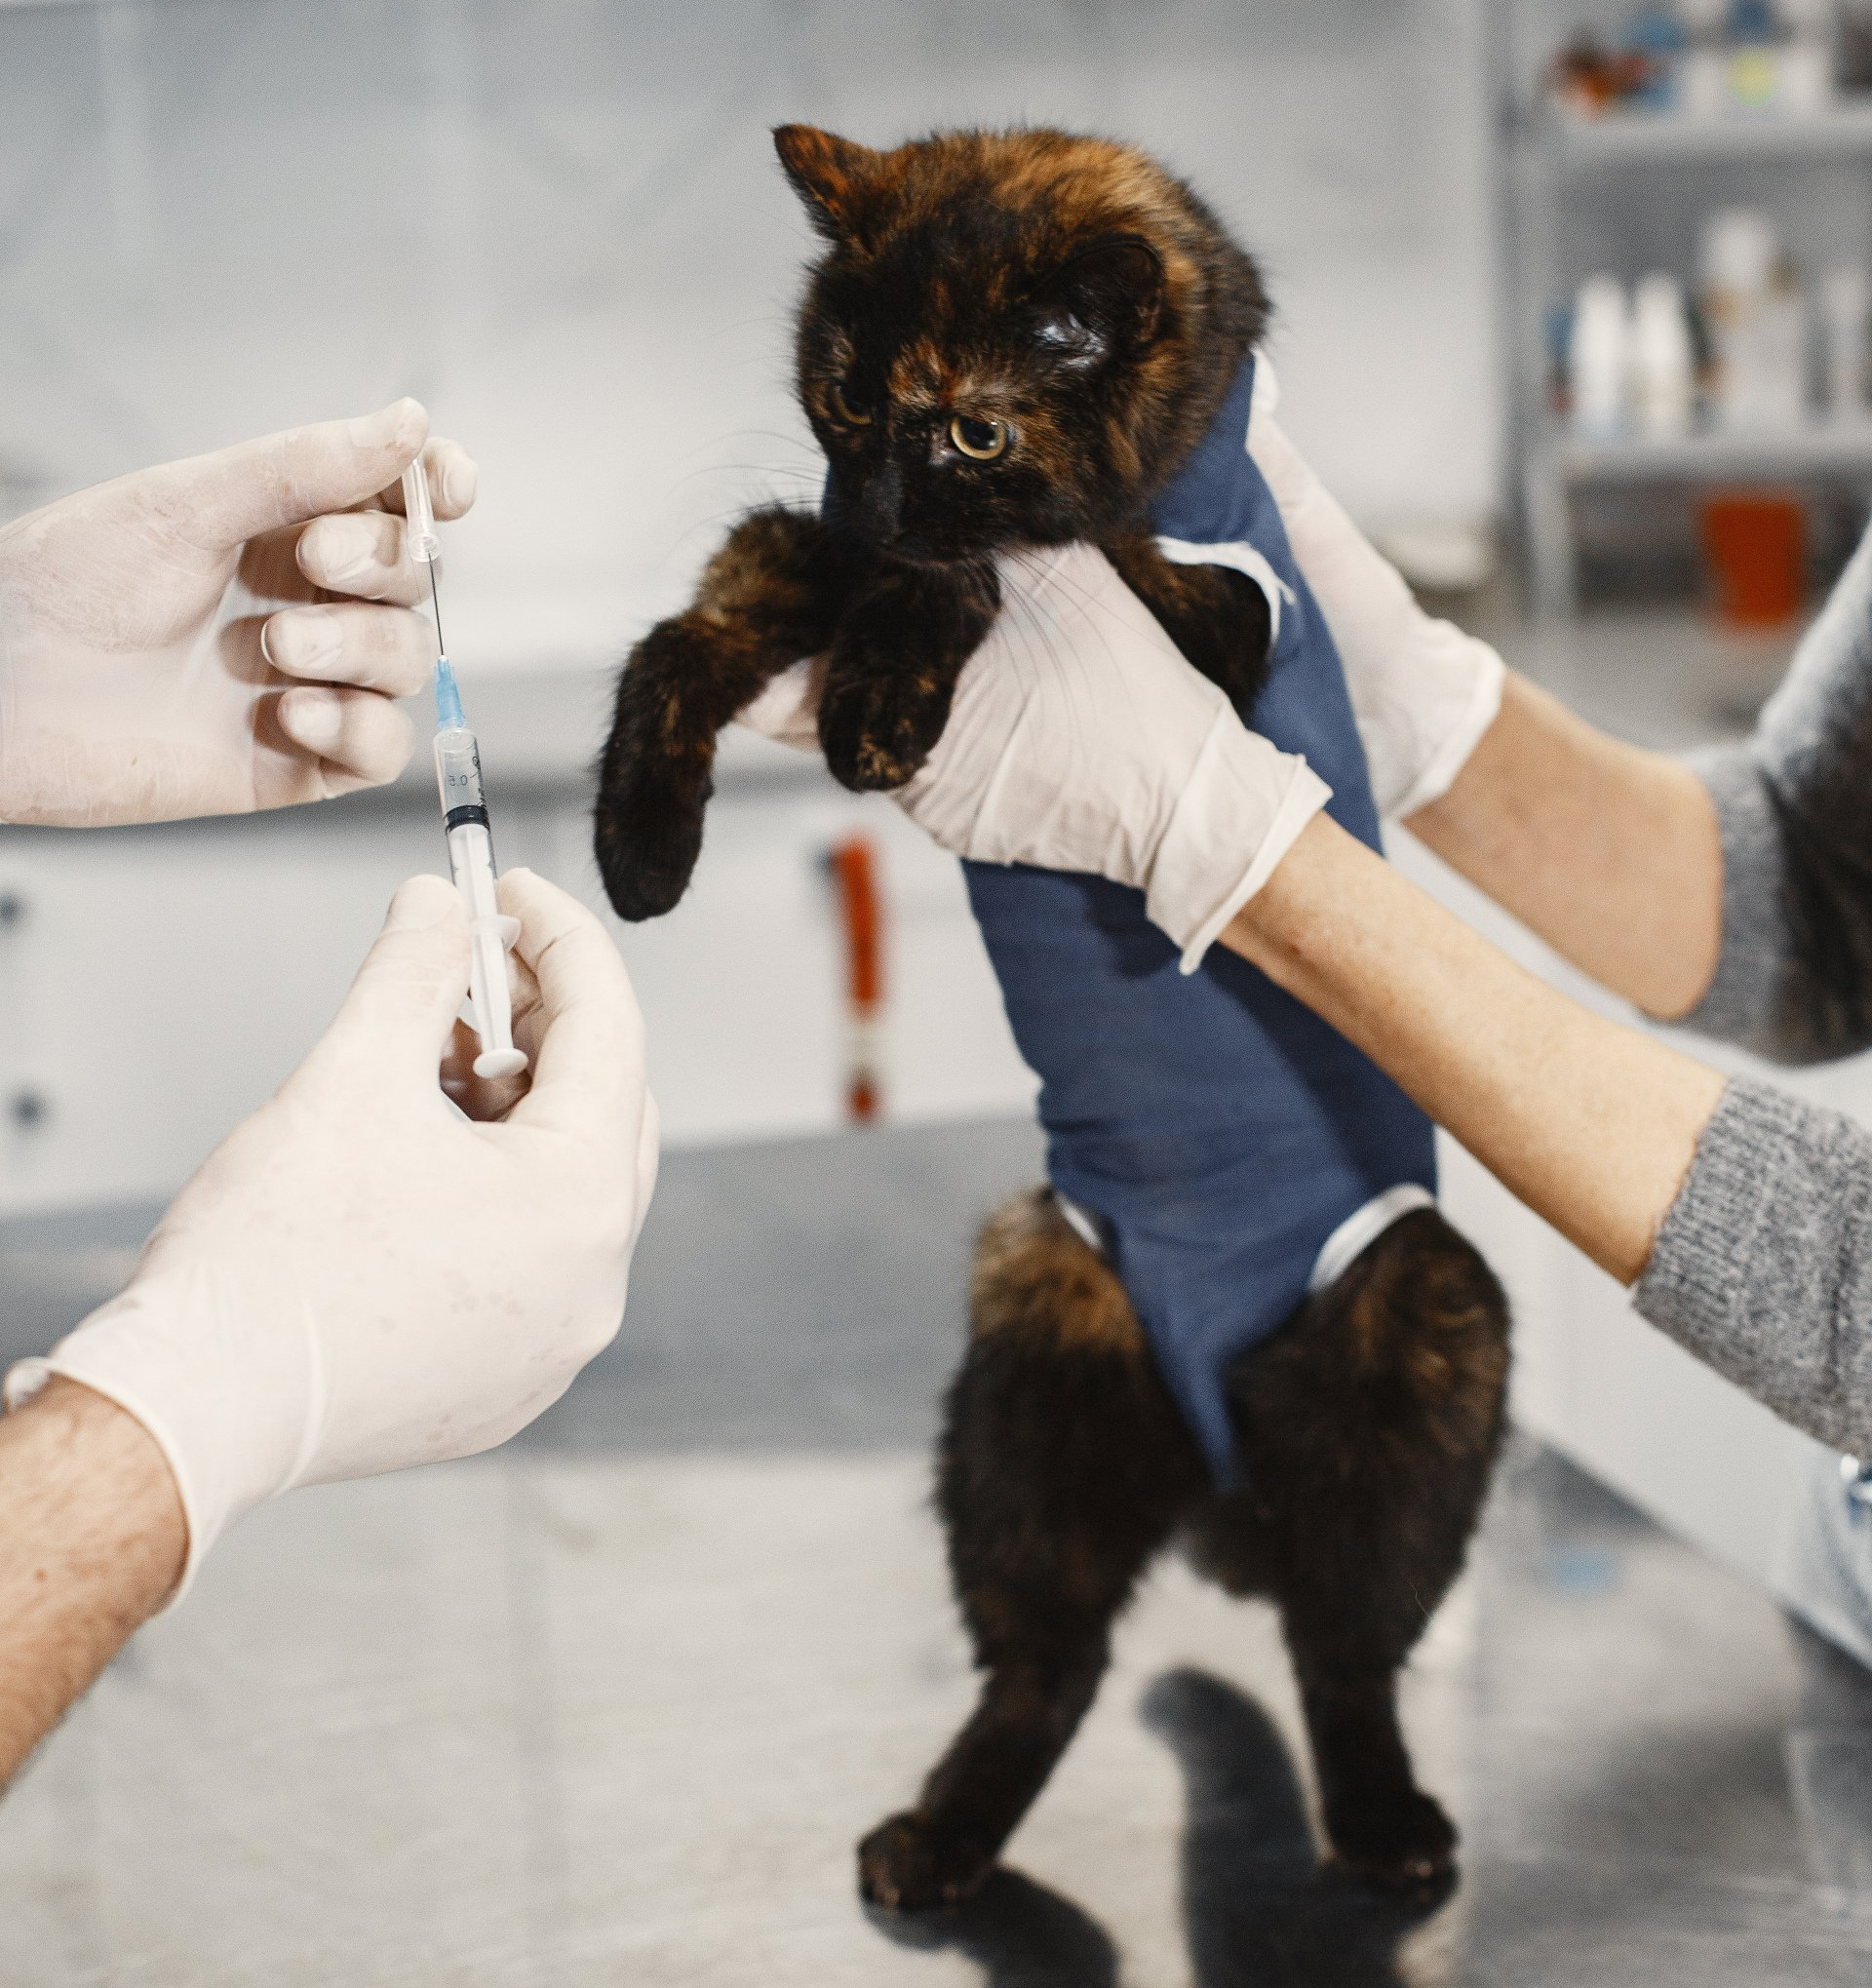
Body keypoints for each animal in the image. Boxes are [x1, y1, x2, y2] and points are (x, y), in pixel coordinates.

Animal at [592, 128, 1518, 1908]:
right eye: (843, 390)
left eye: (971, 425)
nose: (873, 495)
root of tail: (1212, 1447)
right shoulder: (801, 545)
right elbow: (705, 608)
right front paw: (639, 843)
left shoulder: (1209, 620)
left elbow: (990, 575)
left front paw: (886, 687)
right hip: (1030, 1335)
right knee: (1051, 1660)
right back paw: (940, 1834)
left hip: (1425, 1317)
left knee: (1343, 1646)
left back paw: (1387, 1821)